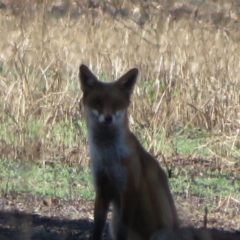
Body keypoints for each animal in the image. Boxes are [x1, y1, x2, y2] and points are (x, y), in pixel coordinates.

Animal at [79, 64, 178, 239]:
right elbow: (96, 229)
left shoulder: (129, 191)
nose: (108, 118)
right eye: (97, 102)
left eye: (116, 103)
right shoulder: (102, 189)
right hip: (113, 223)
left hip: (159, 234)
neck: (108, 158)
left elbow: (123, 232)